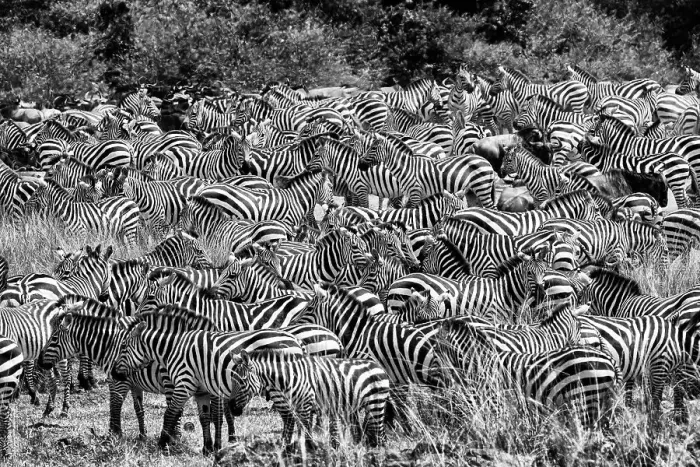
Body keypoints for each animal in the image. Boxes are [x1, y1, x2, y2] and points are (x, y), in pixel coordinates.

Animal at [110, 307, 304, 453]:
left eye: (123, 347)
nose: (113, 374)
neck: (173, 347)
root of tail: (295, 341)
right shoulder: (201, 391)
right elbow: (204, 417)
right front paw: (208, 448)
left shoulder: (184, 384)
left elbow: (170, 413)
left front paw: (163, 443)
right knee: (290, 416)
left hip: (277, 387)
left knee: (288, 416)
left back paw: (285, 448)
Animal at [230, 350, 390, 448]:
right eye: (233, 381)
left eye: (242, 382)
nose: (232, 409)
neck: (288, 377)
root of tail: (380, 367)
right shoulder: (294, 408)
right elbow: (295, 431)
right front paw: (290, 449)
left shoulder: (305, 404)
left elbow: (306, 431)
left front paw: (309, 449)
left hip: (375, 404)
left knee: (380, 434)